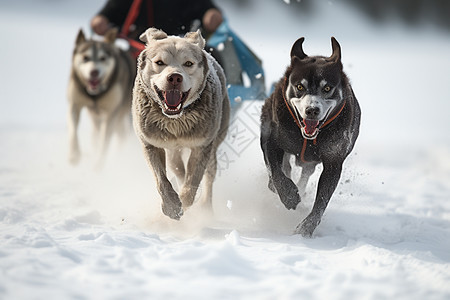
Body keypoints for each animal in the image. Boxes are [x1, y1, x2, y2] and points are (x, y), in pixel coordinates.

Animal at [66, 28, 134, 166]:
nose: (94, 72)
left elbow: (105, 141)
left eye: (103, 58)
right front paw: (74, 154)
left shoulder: (111, 112)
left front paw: (98, 163)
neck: (95, 95)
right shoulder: (75, 104)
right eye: (85, 57)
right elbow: (73, 130)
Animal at [130, 28, 229, 220]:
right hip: (172, 149)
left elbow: (192, 182)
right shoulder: (151, 143)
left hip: (215, 139)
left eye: (188, 63)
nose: (175, 77)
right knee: (177, 168)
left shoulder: (201, 146)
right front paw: (171, 206)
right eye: (159, 62)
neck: (175, 120)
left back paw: (205, 207)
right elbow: (161, 179)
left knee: (208, 175)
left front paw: (184, 201)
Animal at [260, 37, 362, 237]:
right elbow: (275, 171)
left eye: (327, 88)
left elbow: (322, 199)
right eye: (300, 86)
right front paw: (289, 195)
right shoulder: (270, 137)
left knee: (305, 173)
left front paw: (306, 227)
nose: (312, 110)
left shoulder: (333, 160)